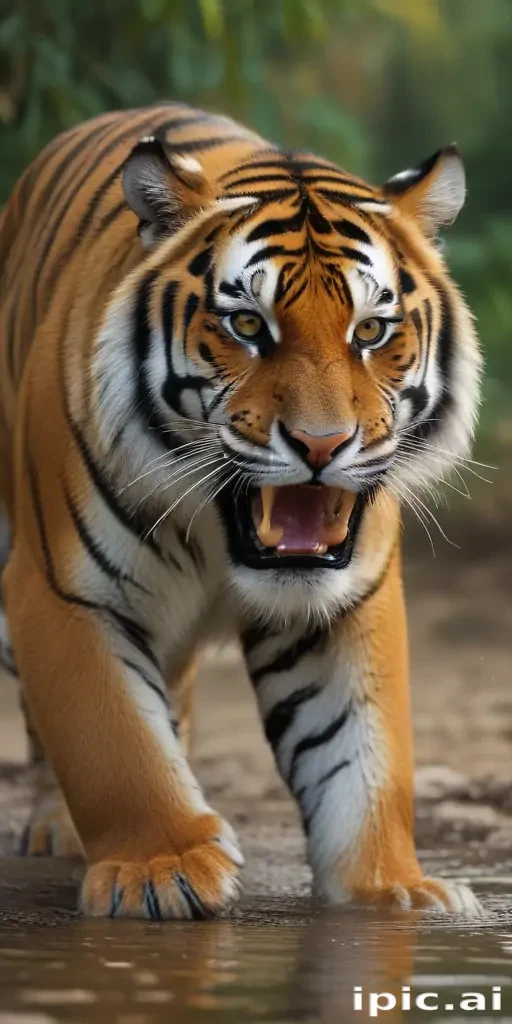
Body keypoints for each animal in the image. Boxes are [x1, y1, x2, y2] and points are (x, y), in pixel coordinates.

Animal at [0, 102, 482, 919]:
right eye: (248, 326)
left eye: (371, 331)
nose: (323, 444)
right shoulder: (62, 590)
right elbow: (112, 739)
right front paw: (161, 869)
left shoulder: (346, 602)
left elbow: (365, 759)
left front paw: (395, 890)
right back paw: (59, 826)